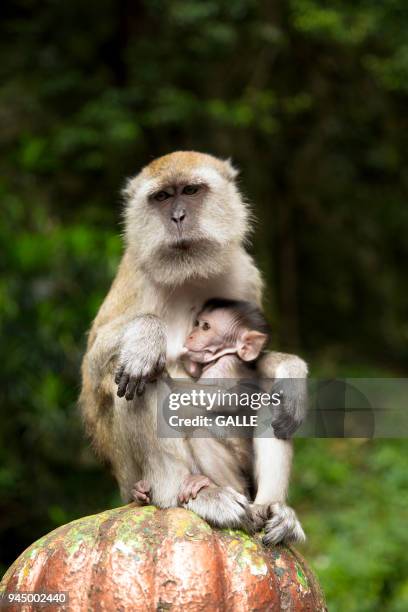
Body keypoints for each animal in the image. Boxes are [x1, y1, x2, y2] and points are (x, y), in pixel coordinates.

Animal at [132, 298, 270, 510]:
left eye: (206, 327)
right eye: (197, 324)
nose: (190, 335)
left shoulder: (224, 368)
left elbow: (211, 399)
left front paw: (160, 374)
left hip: (244, 471)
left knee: (201, 434)